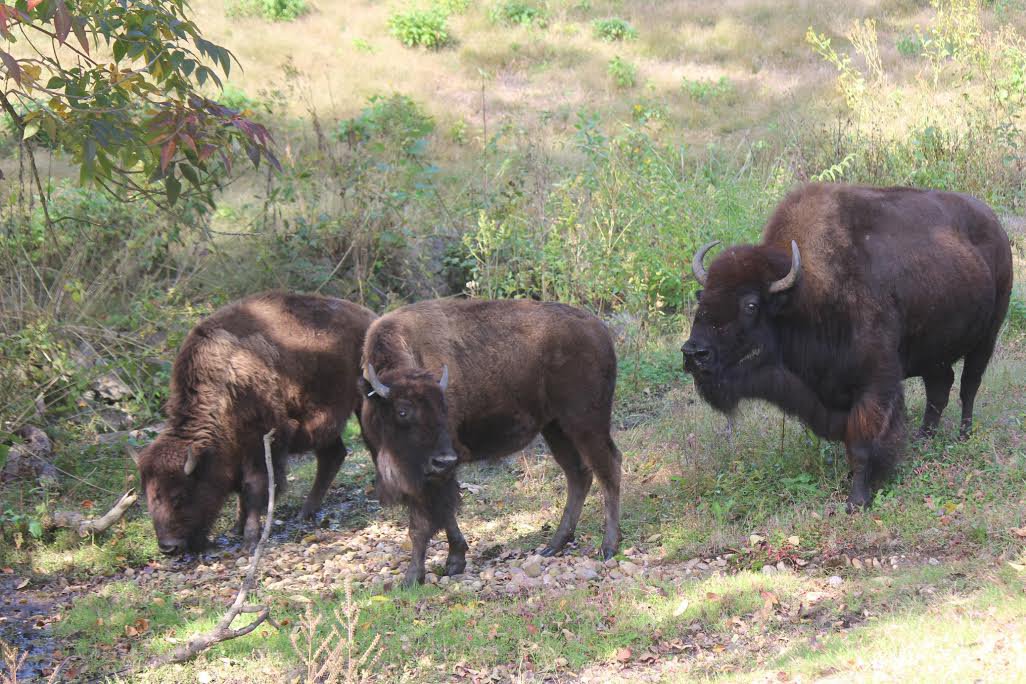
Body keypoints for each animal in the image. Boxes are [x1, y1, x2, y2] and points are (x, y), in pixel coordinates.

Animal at [134, 291, 377, 553]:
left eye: (180, 495)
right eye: (149, 497)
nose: (168, 547)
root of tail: (369, 317)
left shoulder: (263, 442)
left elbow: (254, 487)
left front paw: (250, 540)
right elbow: (243, 490)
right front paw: (237, 528)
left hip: (363, 401)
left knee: (371, 443)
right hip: (324, 422)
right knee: (332, 456)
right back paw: (306, 512)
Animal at [357, 299, 619, 590]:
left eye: (444, 408)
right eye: (402, 410)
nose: (443, 459)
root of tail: (599, 329)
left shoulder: (434, 475)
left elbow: (422, 524)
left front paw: (415, 576)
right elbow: (444, 515)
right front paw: (453, 561)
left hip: (586, 424)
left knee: (608, 469)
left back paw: (608, 547)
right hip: (555, 428)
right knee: (578, 474)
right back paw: (554, 545)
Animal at [681, 184, 1009, 510]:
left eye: (751, 304)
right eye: (703, 298)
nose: (694, 353)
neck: (806, 296)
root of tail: (995, 225)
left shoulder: (875, 386)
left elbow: (862, 444)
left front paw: (857, 500)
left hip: (987, 338)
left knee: (968, 386)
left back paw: (964, 435)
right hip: (934, 353)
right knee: (940, 388)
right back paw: (924, 437)